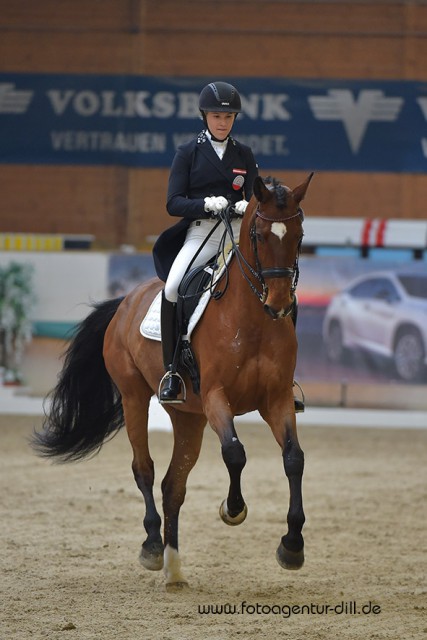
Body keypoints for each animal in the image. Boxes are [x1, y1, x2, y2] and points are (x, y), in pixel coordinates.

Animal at [31, 171, 314, 592]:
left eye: (298, 236)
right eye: (260, 236)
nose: (279, 305)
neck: (252, 319)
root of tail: (125, 302)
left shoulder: (276, 400)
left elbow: (294, 459)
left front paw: (292, 546)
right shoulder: (216, 397)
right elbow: (235, 453)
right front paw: (232, 509)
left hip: (188, 417)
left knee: (172, 486)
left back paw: (174, 568)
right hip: (135, 397)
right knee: (144, 469)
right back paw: (152, 547)